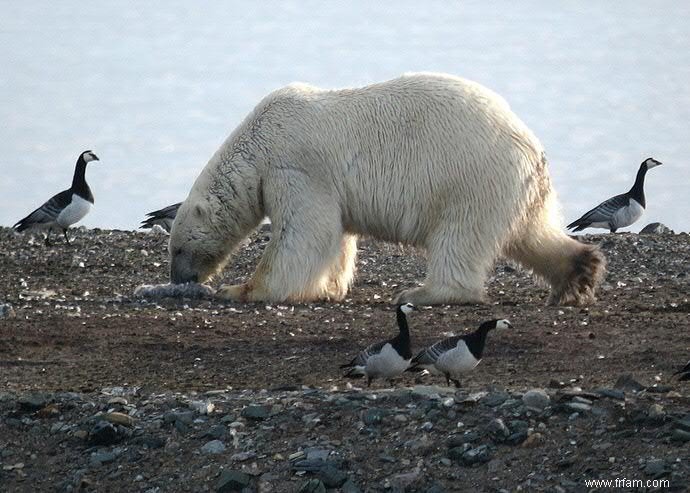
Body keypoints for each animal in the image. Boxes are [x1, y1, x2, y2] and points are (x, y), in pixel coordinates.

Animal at [169, 72, 604, 304]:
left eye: (177, 248)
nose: (177, 279)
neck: (258, 140)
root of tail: (530, 146)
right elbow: (335, 237)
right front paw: (327, 288)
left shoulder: (295, 168)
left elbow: (303, 233)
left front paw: (241, 288)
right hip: (517, 188)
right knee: (530, 232)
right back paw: (579, 270)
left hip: (470, 178)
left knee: (460, 237)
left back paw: (423, 292)